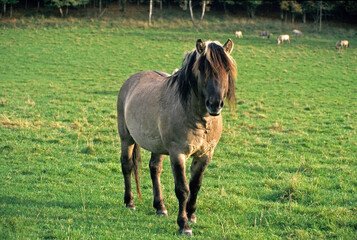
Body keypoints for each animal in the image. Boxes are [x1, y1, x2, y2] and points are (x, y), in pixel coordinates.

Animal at [117, 39, 236, 234]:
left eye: (226, 69)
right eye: (202, 69)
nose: (215, 104)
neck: (199, 118)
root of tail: (131, 80)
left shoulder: (205, 155)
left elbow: (195, 185)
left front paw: (192, 215)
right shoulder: (177, 154)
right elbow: (182, 189)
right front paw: (184, 225)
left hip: (157, 146)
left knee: (155, 169)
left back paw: (160, 207)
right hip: (126, 138)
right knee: (127, 166)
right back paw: (130, 202)